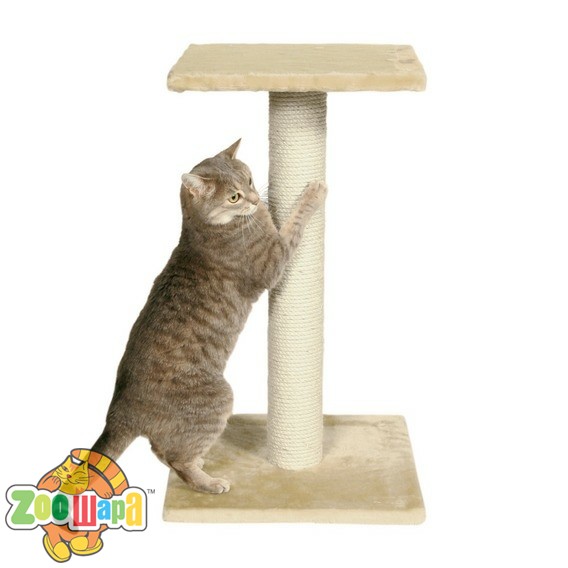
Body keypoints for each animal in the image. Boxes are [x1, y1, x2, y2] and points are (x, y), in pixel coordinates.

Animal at [92, 139, 327, 494]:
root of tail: (119, 410)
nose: (255, 199)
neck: (202, 228)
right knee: (177, 460)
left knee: (161, 450)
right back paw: (210, 483)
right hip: (218, 398)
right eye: (233, 197)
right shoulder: (272, 260)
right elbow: (293, 223)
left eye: (249, 180)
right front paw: (313, 191)